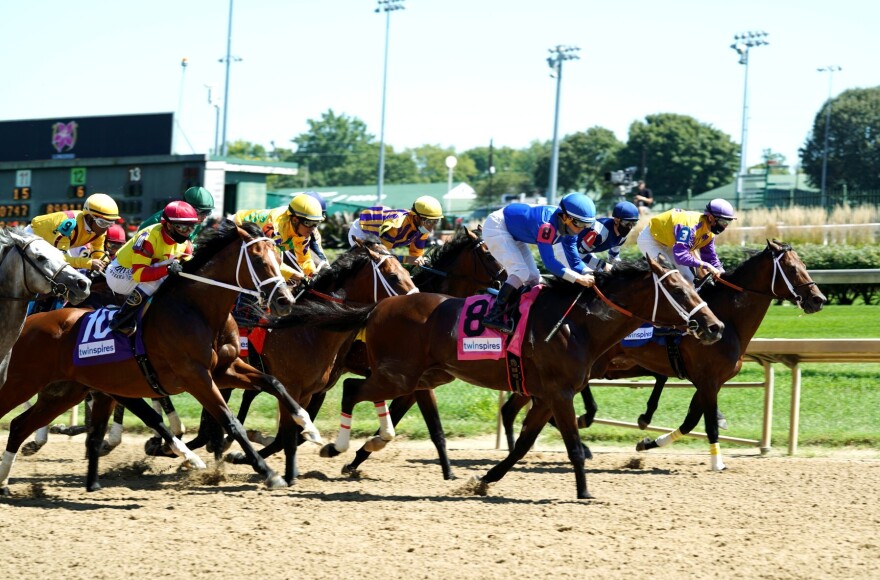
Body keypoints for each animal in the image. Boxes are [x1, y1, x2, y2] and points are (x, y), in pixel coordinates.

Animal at [280, 256, 720, 500]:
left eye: (691, 284)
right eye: (678, 289)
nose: (714, 327)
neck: (578, 324)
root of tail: (378, 306)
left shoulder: (545, 396)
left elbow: (523, 445)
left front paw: (485, 479)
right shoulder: (561, 394)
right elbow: (572, 448)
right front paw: (584, 490)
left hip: (418, 376)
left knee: (358, 393)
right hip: (400, 374)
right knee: (351, 389)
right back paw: (334, 446)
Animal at [502, 240, 824, 472]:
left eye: (804, 265)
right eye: (793, 269)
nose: (818, 299)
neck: (727, 319)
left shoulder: (710, 381)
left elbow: (691, 421)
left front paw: (646, 443)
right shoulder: (708, 380)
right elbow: (706, 423)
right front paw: (717, 462)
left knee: (515, 406)